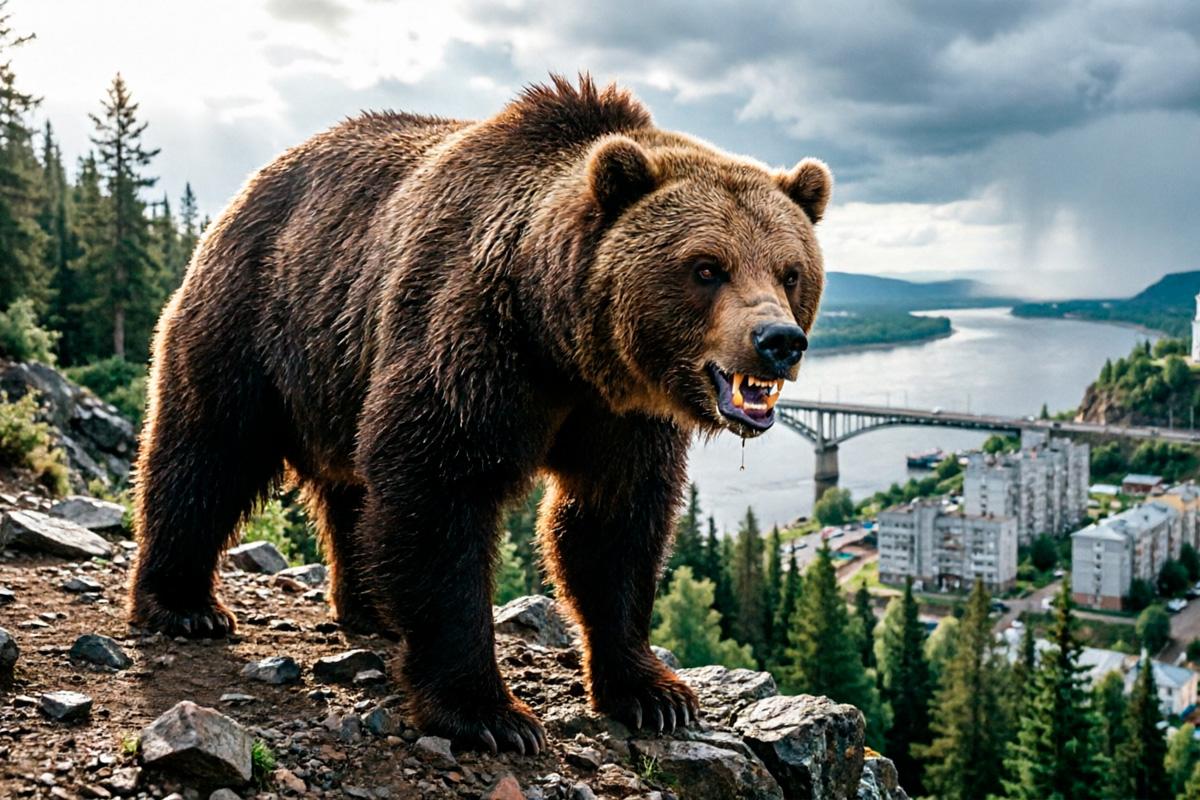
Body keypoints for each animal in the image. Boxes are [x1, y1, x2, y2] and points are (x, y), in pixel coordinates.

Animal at [129, 75, 831, 754]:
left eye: (790, 271)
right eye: (707, 267)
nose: (779, 340)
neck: (562, 342)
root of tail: (254, 184)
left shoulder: (622, 415)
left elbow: (614, 523)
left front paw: (654, 692)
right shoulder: (472, 347)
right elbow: (440, 496)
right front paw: (489, 714)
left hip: (340, 369)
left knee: (352, 489)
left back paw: (369, 606)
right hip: (257, 321)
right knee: (206, 451)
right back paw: (184, 604)